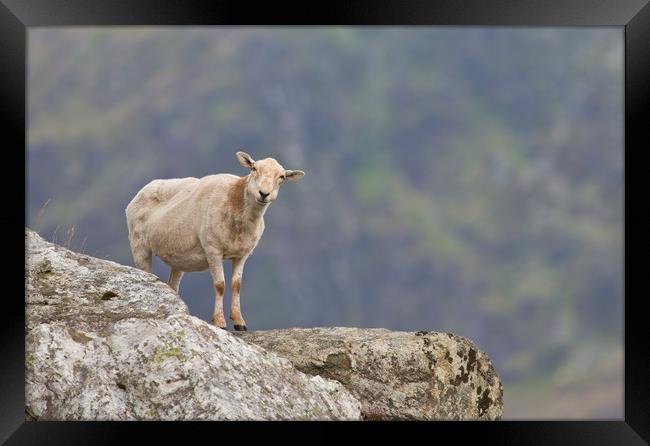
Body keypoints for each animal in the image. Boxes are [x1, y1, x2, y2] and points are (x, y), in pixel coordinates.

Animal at [126, 152, 304, 330]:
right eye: (254, 168)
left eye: (282, 176)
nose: (264, 193)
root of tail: (144, 189)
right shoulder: (212, 248)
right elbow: (220, 285)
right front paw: (219, 322)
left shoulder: (242, 254)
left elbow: (236, 285)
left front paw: (239, 322)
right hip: (138, 243)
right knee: (145, 274)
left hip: (177, 259)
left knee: (172, 285)